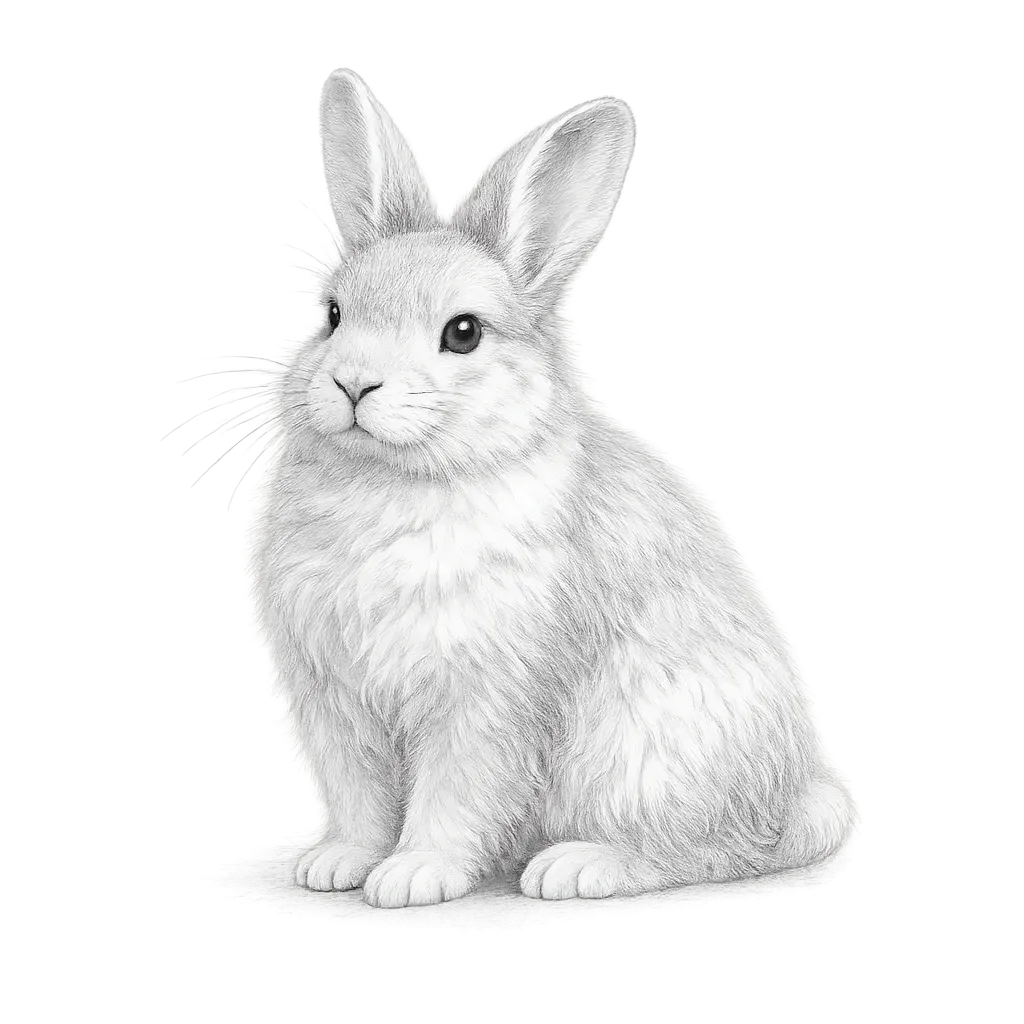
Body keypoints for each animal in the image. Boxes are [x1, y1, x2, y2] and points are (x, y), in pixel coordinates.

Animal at [260, 71, 854, 909]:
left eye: (464, 333)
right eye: (334, 315)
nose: (352, 384)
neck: (401, 480)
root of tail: (802, 795)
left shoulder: (487, 702)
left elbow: (456, 793)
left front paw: (412, 877)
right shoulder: (340, 707)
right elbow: (361, 796)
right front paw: (341, 864)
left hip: (647, 759)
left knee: (719, 852)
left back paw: (576, 868)